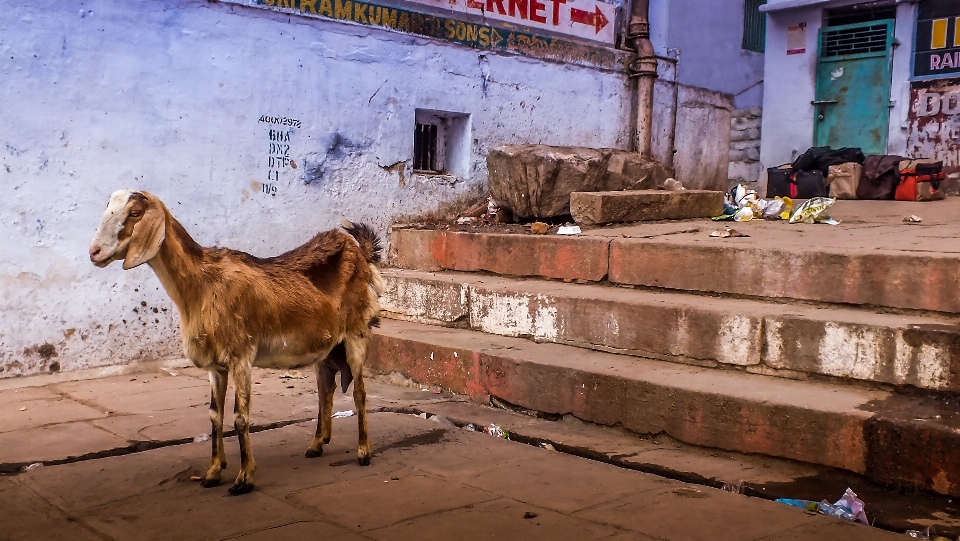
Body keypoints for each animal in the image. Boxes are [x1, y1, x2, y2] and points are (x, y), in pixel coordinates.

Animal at [89, 190, 382, 494]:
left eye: (134, 213)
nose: (94, 252)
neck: (203, 285)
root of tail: (359, 250)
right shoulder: (216, 366)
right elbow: (214, 416)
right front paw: (212, 473)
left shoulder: (241, 357)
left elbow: (240, 417)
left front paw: (244, 479)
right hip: (325, 349)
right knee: (326, 388)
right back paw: (316, 445)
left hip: (356, 333)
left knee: (359, 392)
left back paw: (363, 452)